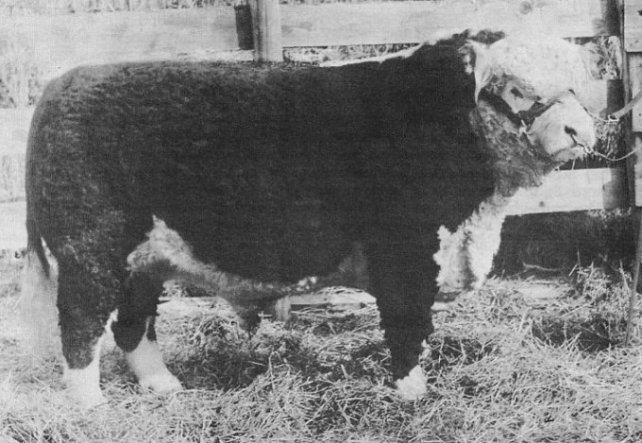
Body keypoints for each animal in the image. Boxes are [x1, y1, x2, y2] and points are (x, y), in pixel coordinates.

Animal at [21, 29, 596, 408]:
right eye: (518, 87)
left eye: (576, 86)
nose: (578, 130)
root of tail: (63, 84)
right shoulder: (405, 252)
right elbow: (408, 325)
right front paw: (412, 393)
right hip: (89, 251)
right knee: (81, 326)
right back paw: (91, 407)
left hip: (145, 258)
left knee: (132, 324)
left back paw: (163, 386)